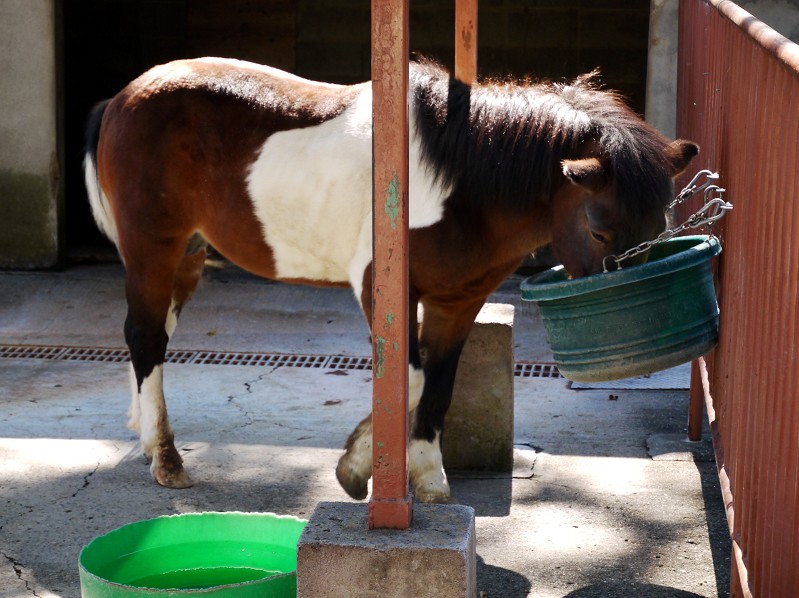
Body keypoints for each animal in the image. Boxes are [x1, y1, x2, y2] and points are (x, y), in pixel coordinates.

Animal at [84, 58, 696, 504]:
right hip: (153, 249)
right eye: (599, 230)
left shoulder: (458, 302)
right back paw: (166, 459)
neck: (459, 183)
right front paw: (359, 469)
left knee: (154, 336)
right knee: (145, 337)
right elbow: (410, 378)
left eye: (658, 228)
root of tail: (122, 98)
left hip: (187, 255)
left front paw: (427, 480)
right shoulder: (381, 289)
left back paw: (146, 439)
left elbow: (438, 386)